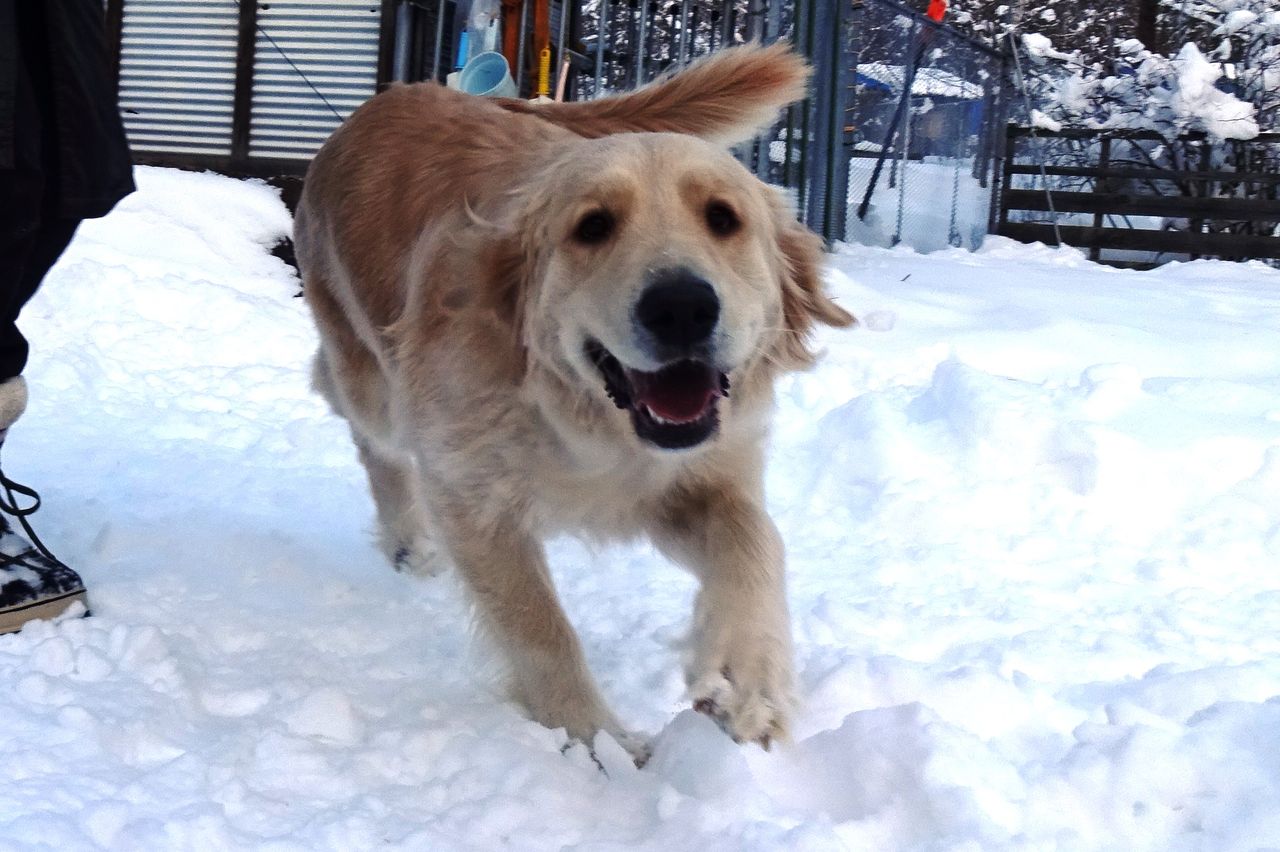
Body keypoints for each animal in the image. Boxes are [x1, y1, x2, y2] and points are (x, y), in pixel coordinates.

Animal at [293, 43, 854, 756]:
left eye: (723, 218)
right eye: (593, 226)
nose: (681, 307)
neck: (586, 421)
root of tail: (395, 93)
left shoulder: (693, 480)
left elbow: (755, 539)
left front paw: (744, 678)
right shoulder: (471, 496)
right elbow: (541, 629)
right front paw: (596, 743)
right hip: (371, 384)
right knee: (364, 427)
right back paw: (407, 543)